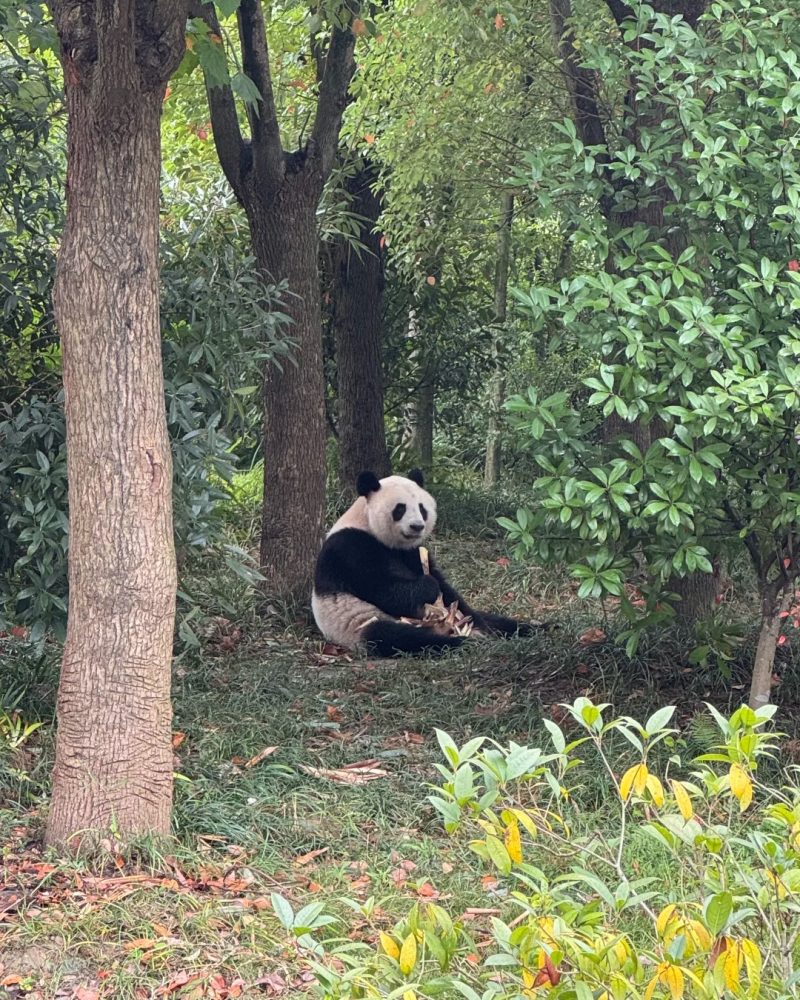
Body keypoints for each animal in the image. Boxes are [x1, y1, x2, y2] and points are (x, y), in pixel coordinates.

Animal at [311, 468, 541, 656]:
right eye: (400, 509)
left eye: (422, 508)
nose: (417, 526)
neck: (366, 524)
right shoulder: (348, 548)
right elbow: (383, 589)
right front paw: (428, 586)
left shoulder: (412, 551)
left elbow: (449, 592)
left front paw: (478, 624)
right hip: (360, 623)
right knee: (400, 638)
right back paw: (466, 642)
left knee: (498, 620)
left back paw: (534, 629)